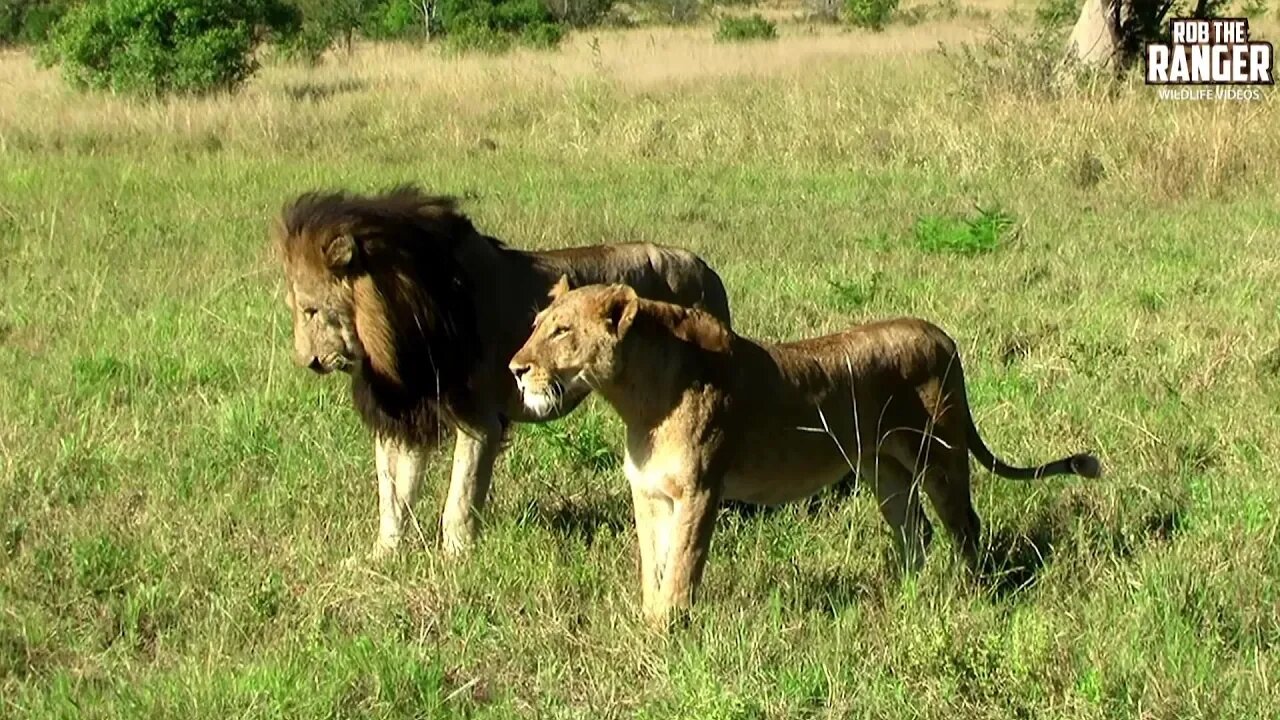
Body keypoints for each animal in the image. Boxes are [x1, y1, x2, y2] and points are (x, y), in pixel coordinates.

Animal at [275, 183, 732, 556]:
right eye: (295, 310)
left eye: (311, 310)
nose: (307, 362)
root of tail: (706, 269)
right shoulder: (405, 417)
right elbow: (393, 497)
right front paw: (381, 557)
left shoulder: (480, 419)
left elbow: (459, 500)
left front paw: (456, 559)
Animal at [509, 279, 1100, 622]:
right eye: (535, 326)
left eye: (561, 331)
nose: (515, 368)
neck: (639, 400)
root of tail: (943, 336)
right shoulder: (651, 494)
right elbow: (653, 566)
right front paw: (649, 624)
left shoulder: (701, 491)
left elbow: (681, 568)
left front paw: (670, 634)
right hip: (884, 469)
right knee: (917, 530)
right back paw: (906, 595)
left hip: (941, 454)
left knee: (965, 525)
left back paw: (975, 597)